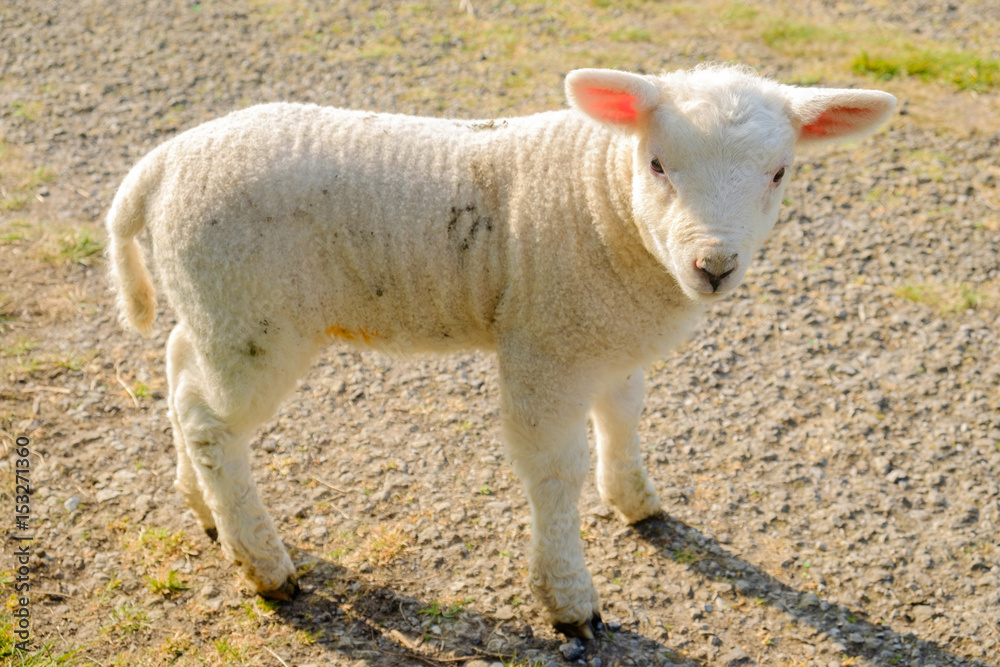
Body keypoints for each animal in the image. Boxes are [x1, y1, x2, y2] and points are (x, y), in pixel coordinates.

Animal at [105, 65, 896, 640]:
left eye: (779, 173)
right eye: (658, 164)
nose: (715, 266)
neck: (602, 204)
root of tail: (160, 166)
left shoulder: (609, 335)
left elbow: (625, 415)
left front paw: (636, 501)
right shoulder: (545, 344)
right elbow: (553, 468)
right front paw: (570, 601)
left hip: (216, 304)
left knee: (180, 372)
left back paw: (202, 508)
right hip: (254, 314)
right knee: (212, 422)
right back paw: (266, 565)